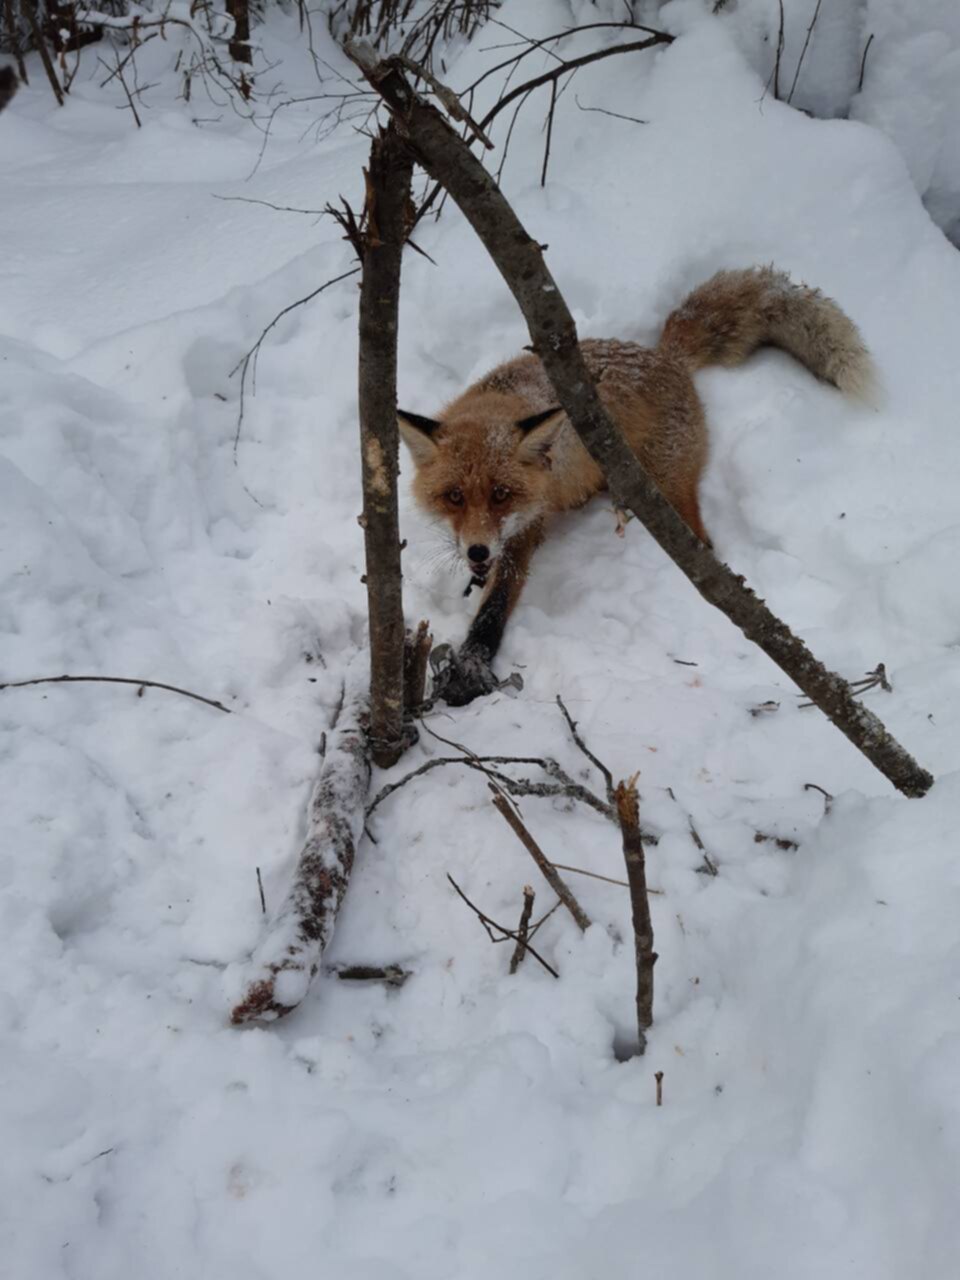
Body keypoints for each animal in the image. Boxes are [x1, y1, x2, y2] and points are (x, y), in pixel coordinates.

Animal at [399, 268, 880, 706]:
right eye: (454, 497)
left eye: (501, 494)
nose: (479, 551)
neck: (500, 402)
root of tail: (663, 356)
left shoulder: (527, 527)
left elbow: (497, 604)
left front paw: (472, 667)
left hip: (665, 492)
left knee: (700, 541)